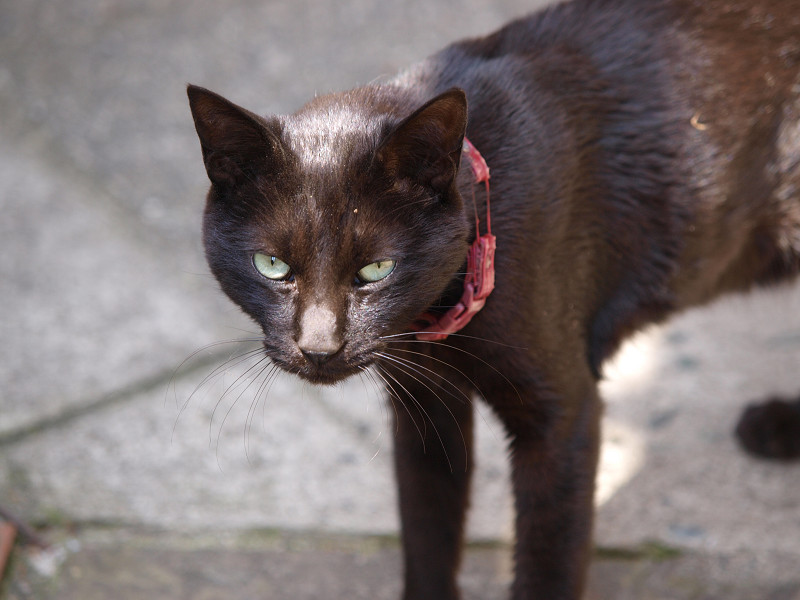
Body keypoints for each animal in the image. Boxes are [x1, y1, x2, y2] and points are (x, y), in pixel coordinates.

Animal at [189, 2, 800, 596]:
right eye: (272, 266)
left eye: (376, 270)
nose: (319, 348)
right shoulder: (424, 406)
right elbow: (427, 534)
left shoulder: (563, 418)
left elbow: (546, 565)